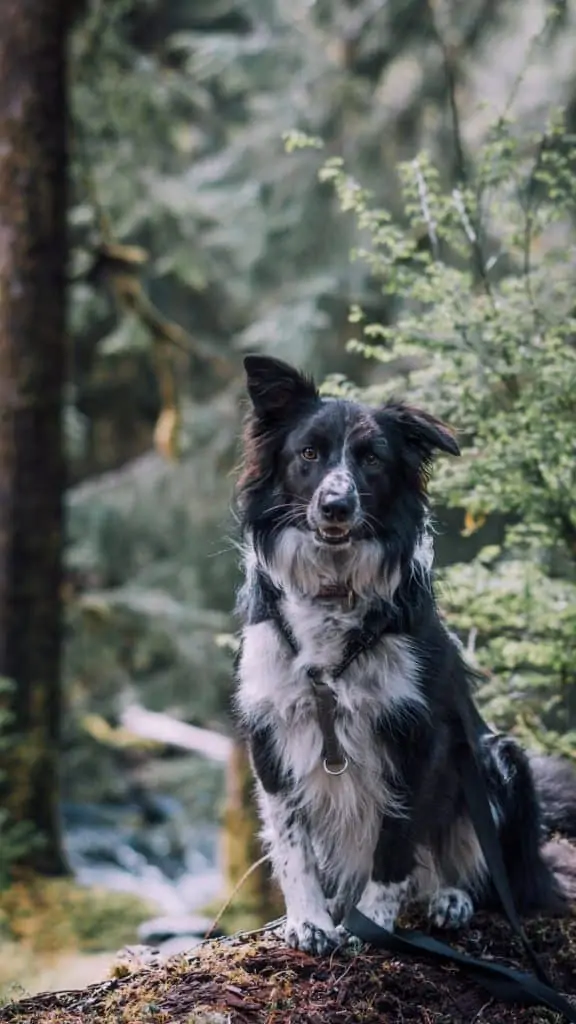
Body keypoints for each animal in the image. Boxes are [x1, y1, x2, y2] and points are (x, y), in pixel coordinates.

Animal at [230, 356, 569, 954]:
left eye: (372, 460)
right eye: (309, 454)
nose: (336, 506)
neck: (333, 592)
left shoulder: (417, 734)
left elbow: (397, 842)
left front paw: (369, 923)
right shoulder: (271, 729)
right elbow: (293, 842)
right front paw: (309, 920)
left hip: (497, 758)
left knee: (484, 873)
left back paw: (451, 897)